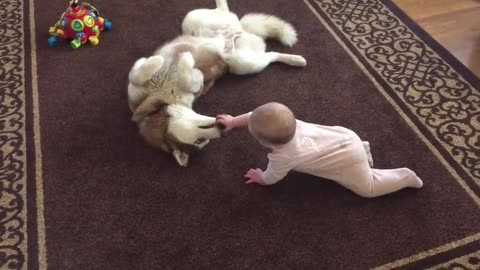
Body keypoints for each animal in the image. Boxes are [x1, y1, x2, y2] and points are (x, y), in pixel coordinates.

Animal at [129, 0, 306, 167]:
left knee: (223, 12)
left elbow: (136, 75)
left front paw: (165, 61)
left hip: (193, 20)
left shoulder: (138, 76)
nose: (223, 131)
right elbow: (190, 79)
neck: (160, 103)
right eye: (200, 141)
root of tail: (241, 30)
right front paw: (187, 66)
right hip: (243, 64)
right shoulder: (194, 89)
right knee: (269, 55)